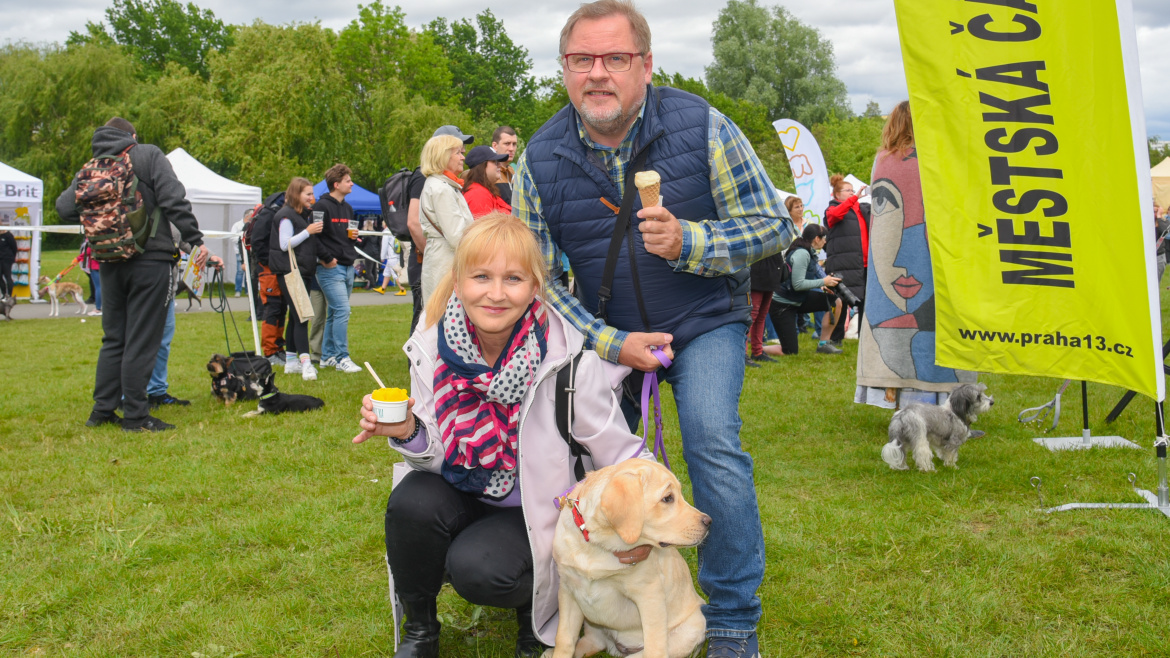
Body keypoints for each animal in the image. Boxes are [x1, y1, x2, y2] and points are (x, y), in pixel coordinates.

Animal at [549, 456, 706, 655]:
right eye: (668, 498)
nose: (709, 522)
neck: (597, 547)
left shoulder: (650, 594)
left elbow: (655, 647)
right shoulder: (567, 590)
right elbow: (564, 639)